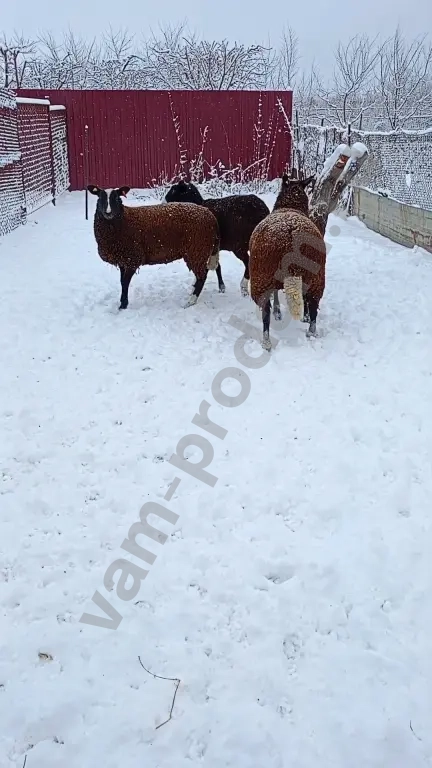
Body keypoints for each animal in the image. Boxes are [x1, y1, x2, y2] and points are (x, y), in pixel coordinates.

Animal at [87, 185, 220, 310]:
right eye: (100, 197)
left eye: (116, 198)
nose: (108, 212)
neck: (124, 220)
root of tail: (210, 215)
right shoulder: (123, 259)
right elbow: (121, 282)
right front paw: (122, 302)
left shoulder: (133, 258)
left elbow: (125, 283)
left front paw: (123, 305)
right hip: (201, 251)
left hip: (197, 249)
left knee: (202, 276)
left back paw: (191, 301)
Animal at [164, 181, 281, 312]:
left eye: (173, 192)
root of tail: (263, 209)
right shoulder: (213, 249)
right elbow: (216, 266)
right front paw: (221, 287)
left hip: (239, 246)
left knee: (248, 263)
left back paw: (244, 287)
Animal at [249, 174, 326, 350]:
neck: (290, 206)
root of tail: (292, 237)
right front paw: (303, 316)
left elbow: (276, 295)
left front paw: (278, 311)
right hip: (316, 277)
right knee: (313, 304)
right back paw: (311, 332)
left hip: (261, 277)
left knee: (265, 312)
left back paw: (266, 342)